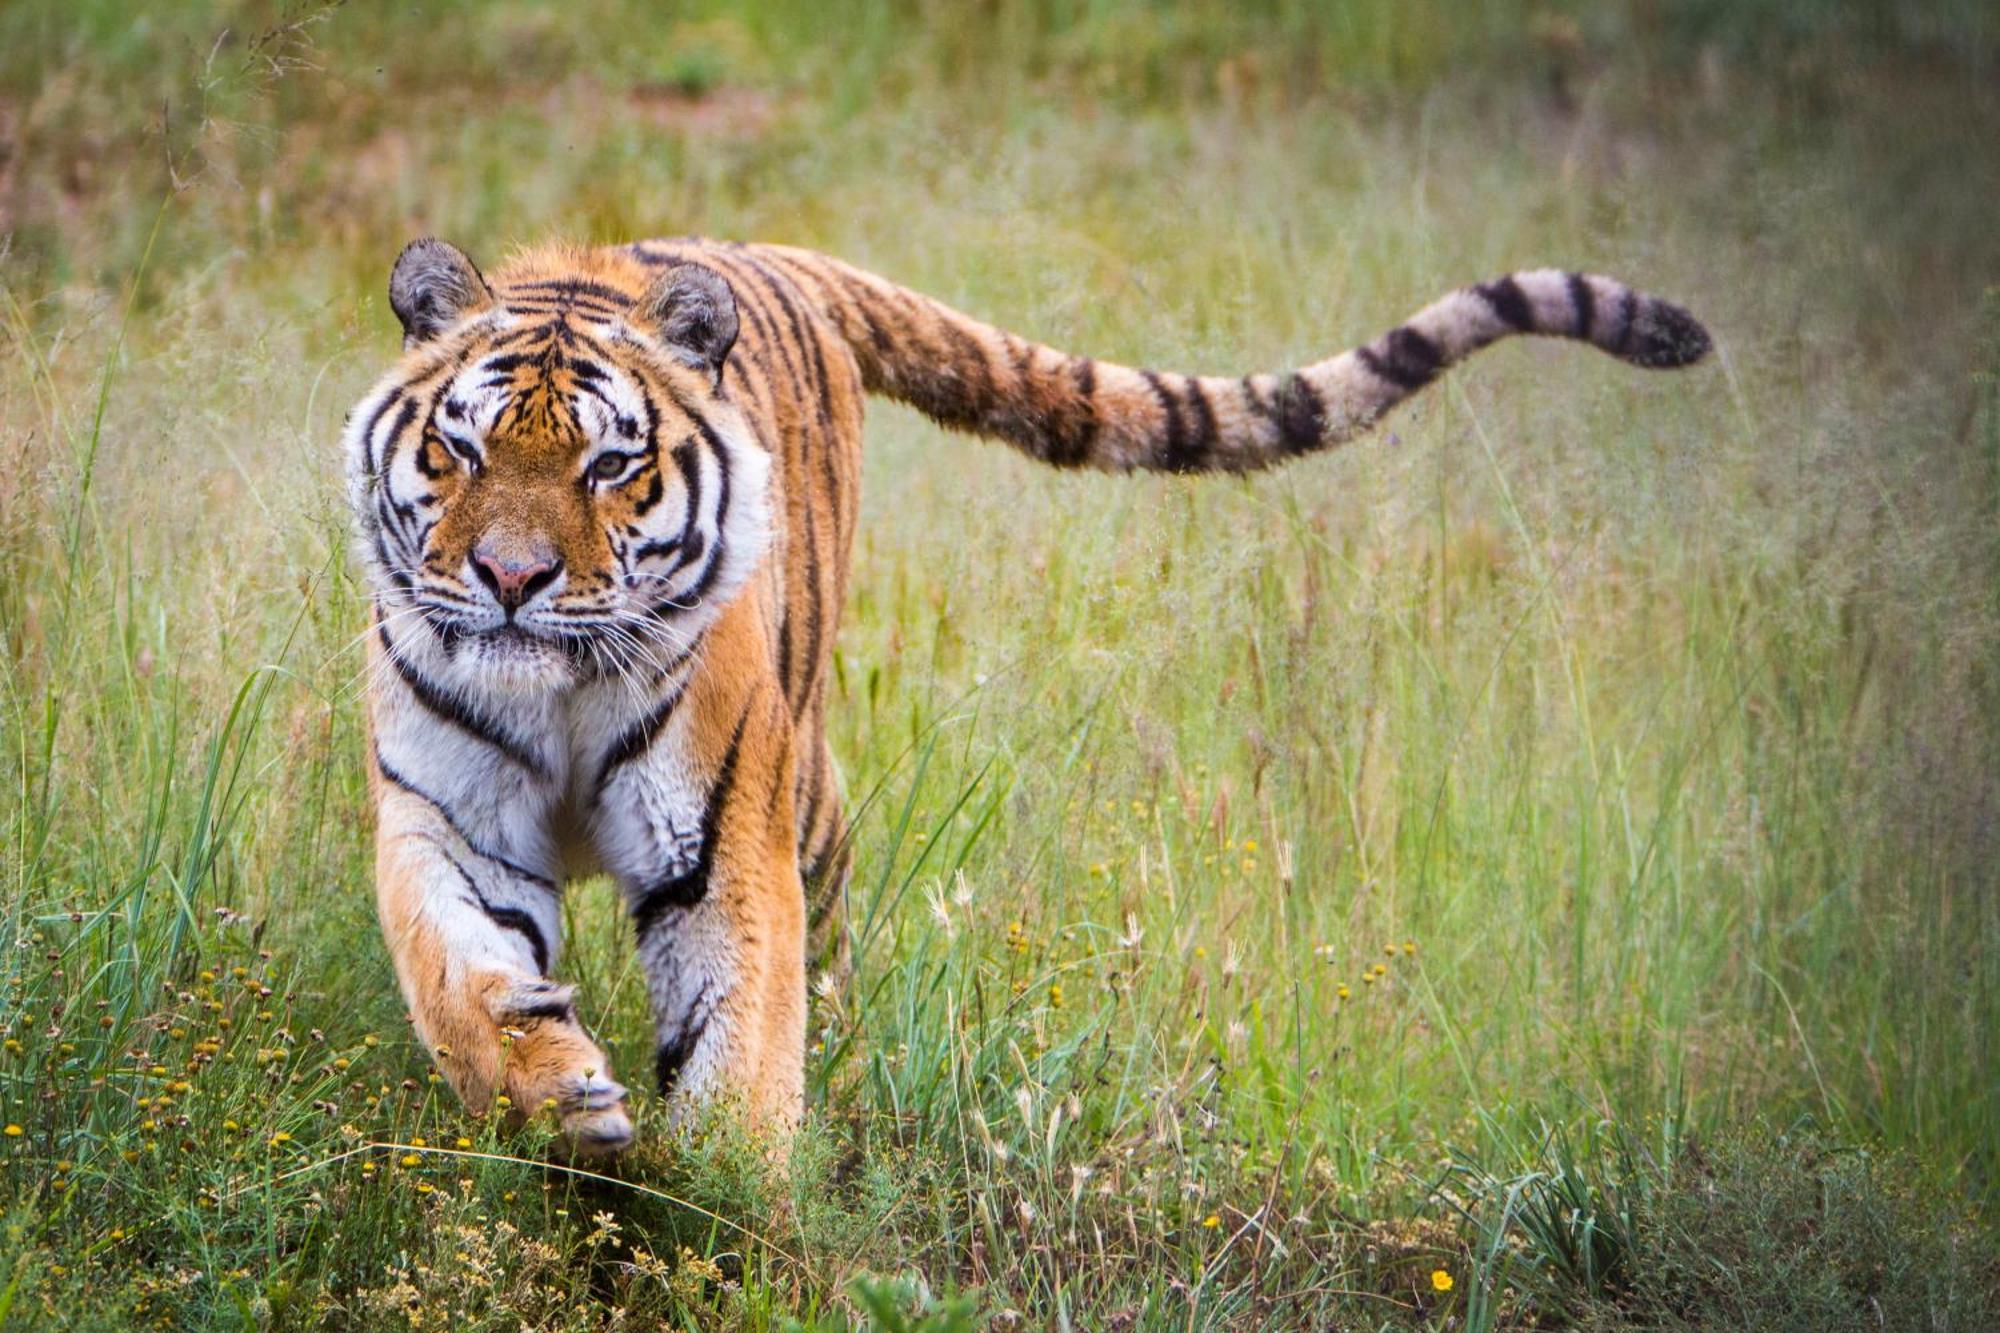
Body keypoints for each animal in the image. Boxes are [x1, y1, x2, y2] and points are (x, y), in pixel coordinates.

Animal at [340, 233, 1704, 1144]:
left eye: (609, 465)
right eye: (459, 448)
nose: (510, 578)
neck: (556, 688)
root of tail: (751, 249)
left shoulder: (722, 840)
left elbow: (739, 1043)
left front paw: (721, 1213)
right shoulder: (446, 814)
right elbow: (458, 977)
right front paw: (556, 1095)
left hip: (803, 780)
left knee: (826, 950)